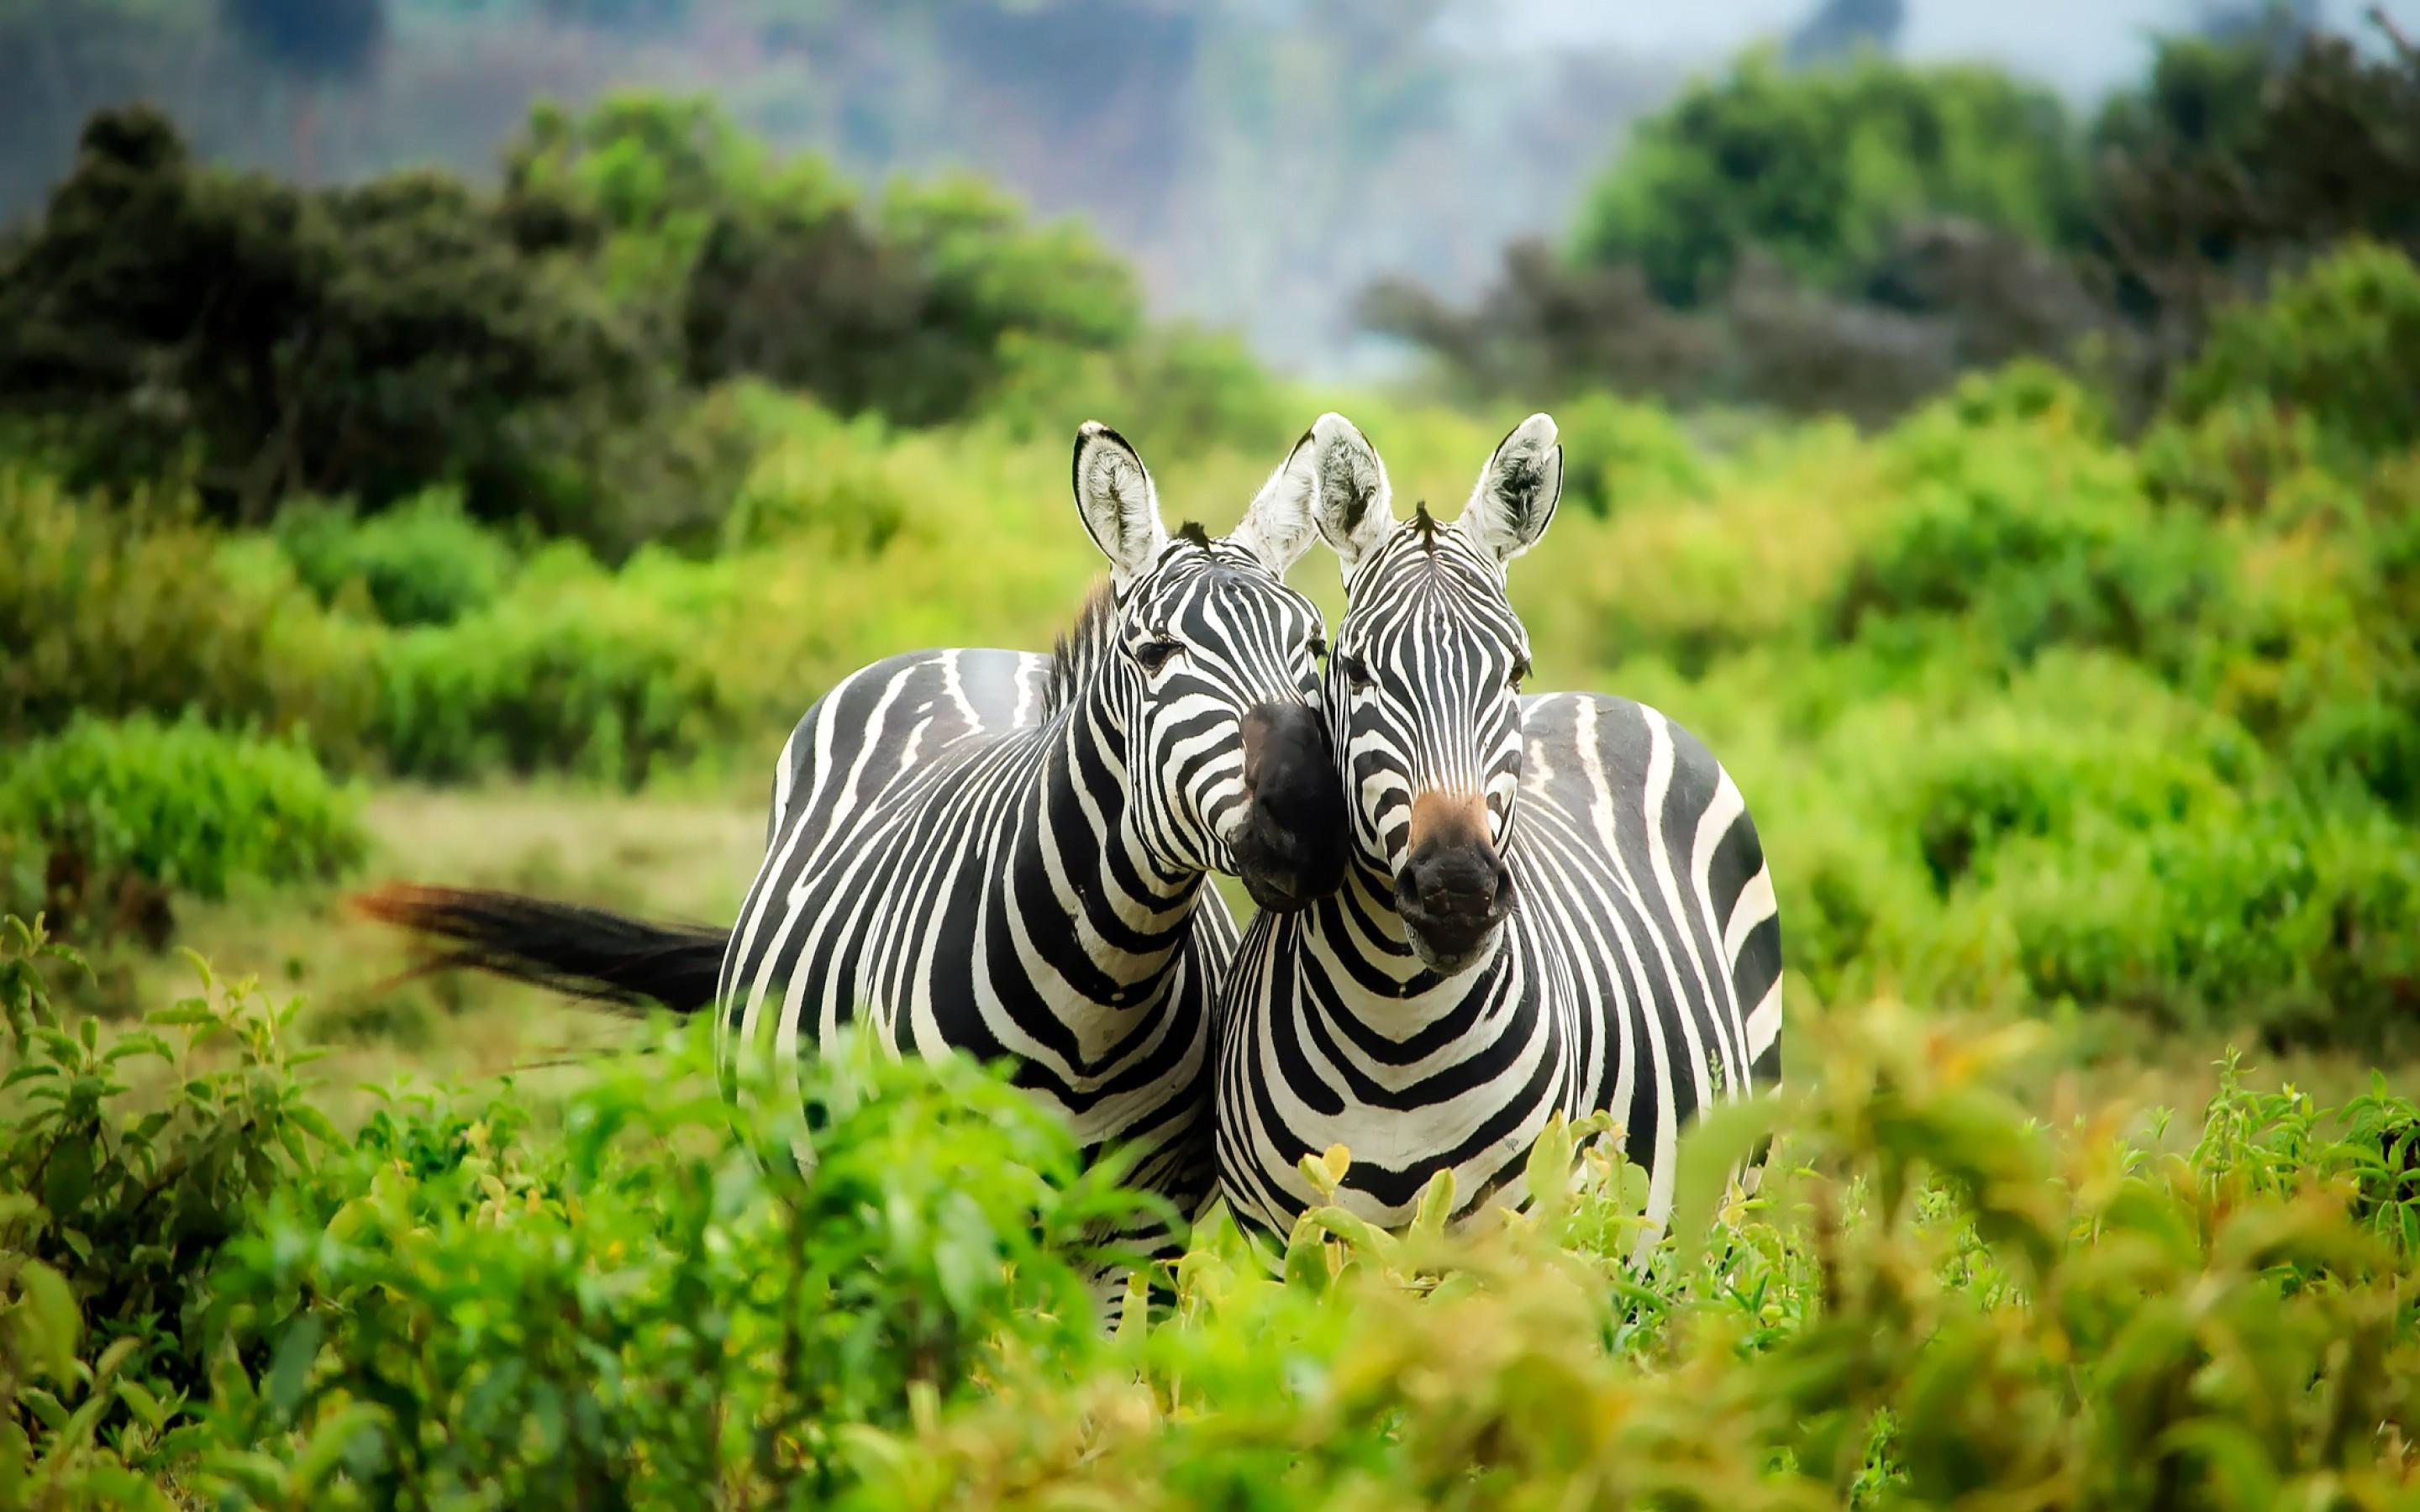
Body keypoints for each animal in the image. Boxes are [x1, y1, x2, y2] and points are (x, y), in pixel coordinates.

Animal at [358, 418, 1355, 1306]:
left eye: (1314, 647)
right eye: (1156, 653)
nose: (1310, 820)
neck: (1098, 994)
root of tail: (966, 651)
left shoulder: (1140, 1233)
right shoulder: (928, 1207)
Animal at [1210, 408, 1781, 1248]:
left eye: (1514, 671)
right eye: (1355, 670)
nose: (1456, 891)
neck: (1396, 1033)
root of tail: (1602, 697)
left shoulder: (1518, 1236)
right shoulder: (1283, 1244)